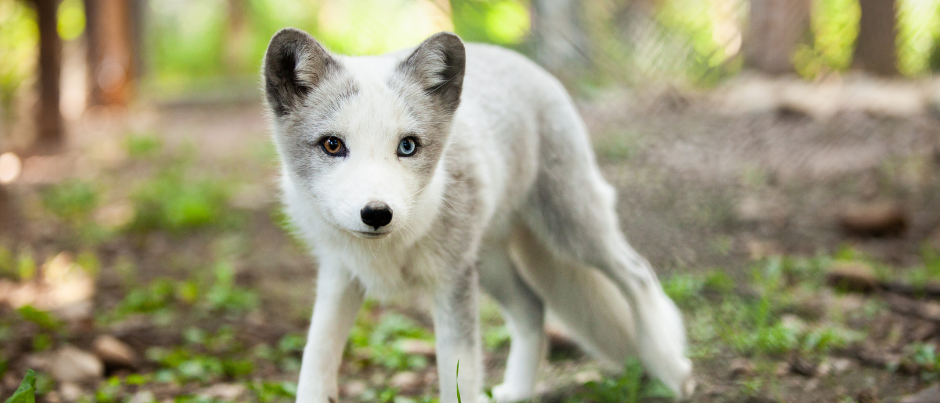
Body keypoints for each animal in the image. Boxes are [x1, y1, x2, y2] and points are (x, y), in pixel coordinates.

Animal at [260, 28, 692, 403]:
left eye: (407, 146)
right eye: (333, 145)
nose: (377, 213)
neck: (385, 251)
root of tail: (517, 59)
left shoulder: (452, 283)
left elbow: (461, 376)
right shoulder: (339, 275)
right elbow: (314, 363)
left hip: (571, 228)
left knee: (637, 274)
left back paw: (671, 371)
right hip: (491, 263)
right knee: (533, 307)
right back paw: (518, 392)